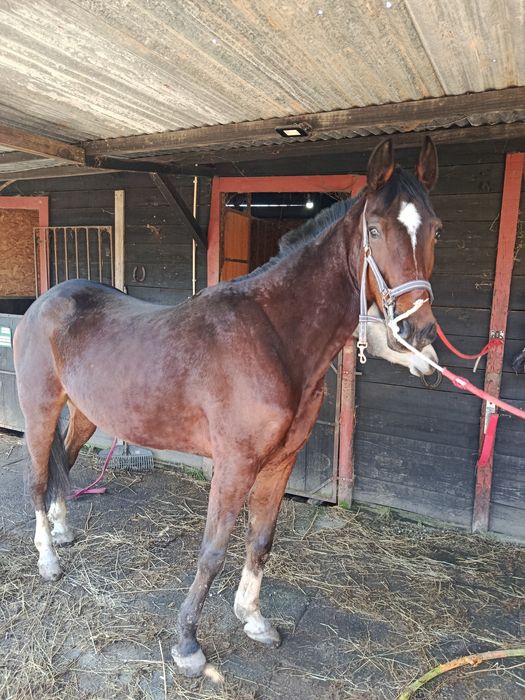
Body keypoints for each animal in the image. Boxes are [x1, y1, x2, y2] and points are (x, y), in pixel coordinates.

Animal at [13, 137, 441, 677]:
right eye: (374, 229)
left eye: (436, 229)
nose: (418, 334)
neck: (273, 339)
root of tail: (43, 303)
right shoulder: (235, 464)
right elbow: (214, 549)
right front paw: (188, 644)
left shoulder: (280, 462)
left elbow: (261, 540)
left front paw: (253, 619)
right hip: (40, 409)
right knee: (37, 479)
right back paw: (48, 559)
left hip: (87, 414)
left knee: (64, 466)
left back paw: (63, 531)